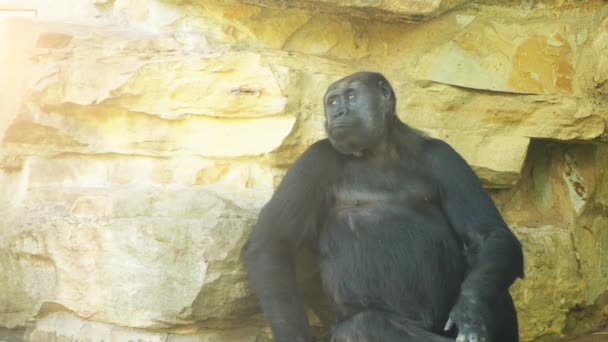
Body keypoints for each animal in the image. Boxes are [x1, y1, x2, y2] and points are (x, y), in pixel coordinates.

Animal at [241, 72, 524, 342]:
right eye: (332, 102)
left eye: (350, 97)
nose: (337, 113)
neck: (380, 150)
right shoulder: (313, 160)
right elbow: (273, 240)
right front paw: (295, 336)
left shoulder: (445, 156)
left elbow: (488, 234)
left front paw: (471, 308)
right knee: (362, 327)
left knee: (492, 272)